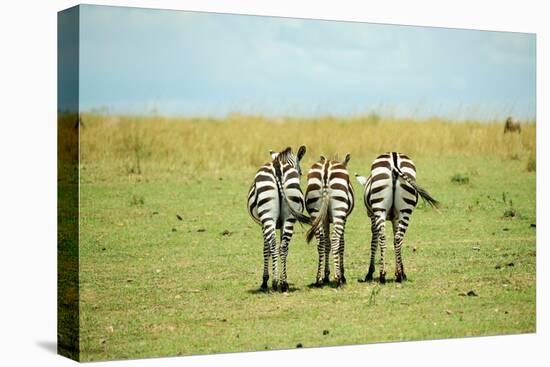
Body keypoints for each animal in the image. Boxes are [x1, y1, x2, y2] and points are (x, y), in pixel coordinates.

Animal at [249, 145, 312, 292]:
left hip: (268, 216)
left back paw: (274, 282)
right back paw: (283, 284)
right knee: (283, 247)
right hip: (289, 217)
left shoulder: (263, 224)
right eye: (301, 173)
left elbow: (266, 249)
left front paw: (265, 280)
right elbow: (281, 247)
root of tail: (277, 166)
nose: (300, 175)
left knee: (272, 245)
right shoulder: (282, 223)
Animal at [304, 154, 356, 288]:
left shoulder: (325, 219)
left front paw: (326, 275)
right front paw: (342, 275)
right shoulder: (344, 218)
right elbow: (341, 244)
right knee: (335, 239)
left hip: (315, 210)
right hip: (339, 211)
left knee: (321, 241)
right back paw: (338, 279)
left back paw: (318, 279)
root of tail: (326, 168)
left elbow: (327, 244)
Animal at [356, 152, 442, 284]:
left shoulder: (373, 217)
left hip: (379, 209)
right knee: (398, 238)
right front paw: (400, 271)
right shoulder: (395, 218)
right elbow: (396, 239)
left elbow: (374, 241)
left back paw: (382, 275)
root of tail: (394, 159)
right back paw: (399, 276)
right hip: (405, 210)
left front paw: (370, 273)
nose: (366, 213)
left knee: (382, 237)